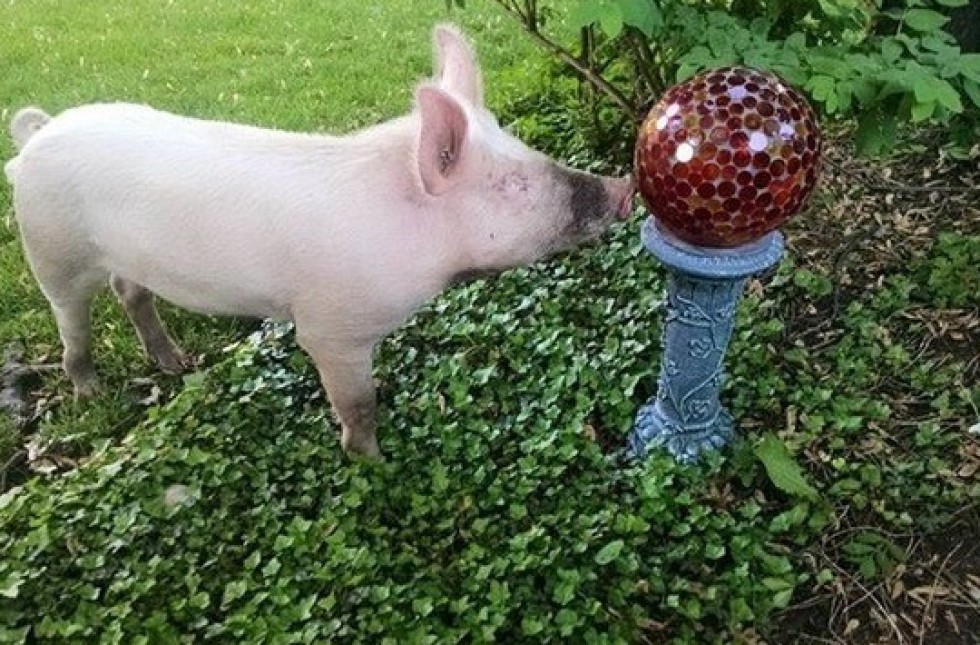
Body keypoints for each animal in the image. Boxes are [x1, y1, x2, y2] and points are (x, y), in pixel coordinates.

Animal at [4, 24, 634, 458]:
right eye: (514, 185)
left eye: (527, 149)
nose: (623, 186)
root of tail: (36, 135)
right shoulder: (331, 328)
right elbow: (358, 401)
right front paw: (371, 460)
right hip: (52, 250)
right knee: (73, 323)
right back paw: (90, 394)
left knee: (130, 291)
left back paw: (177, 365)